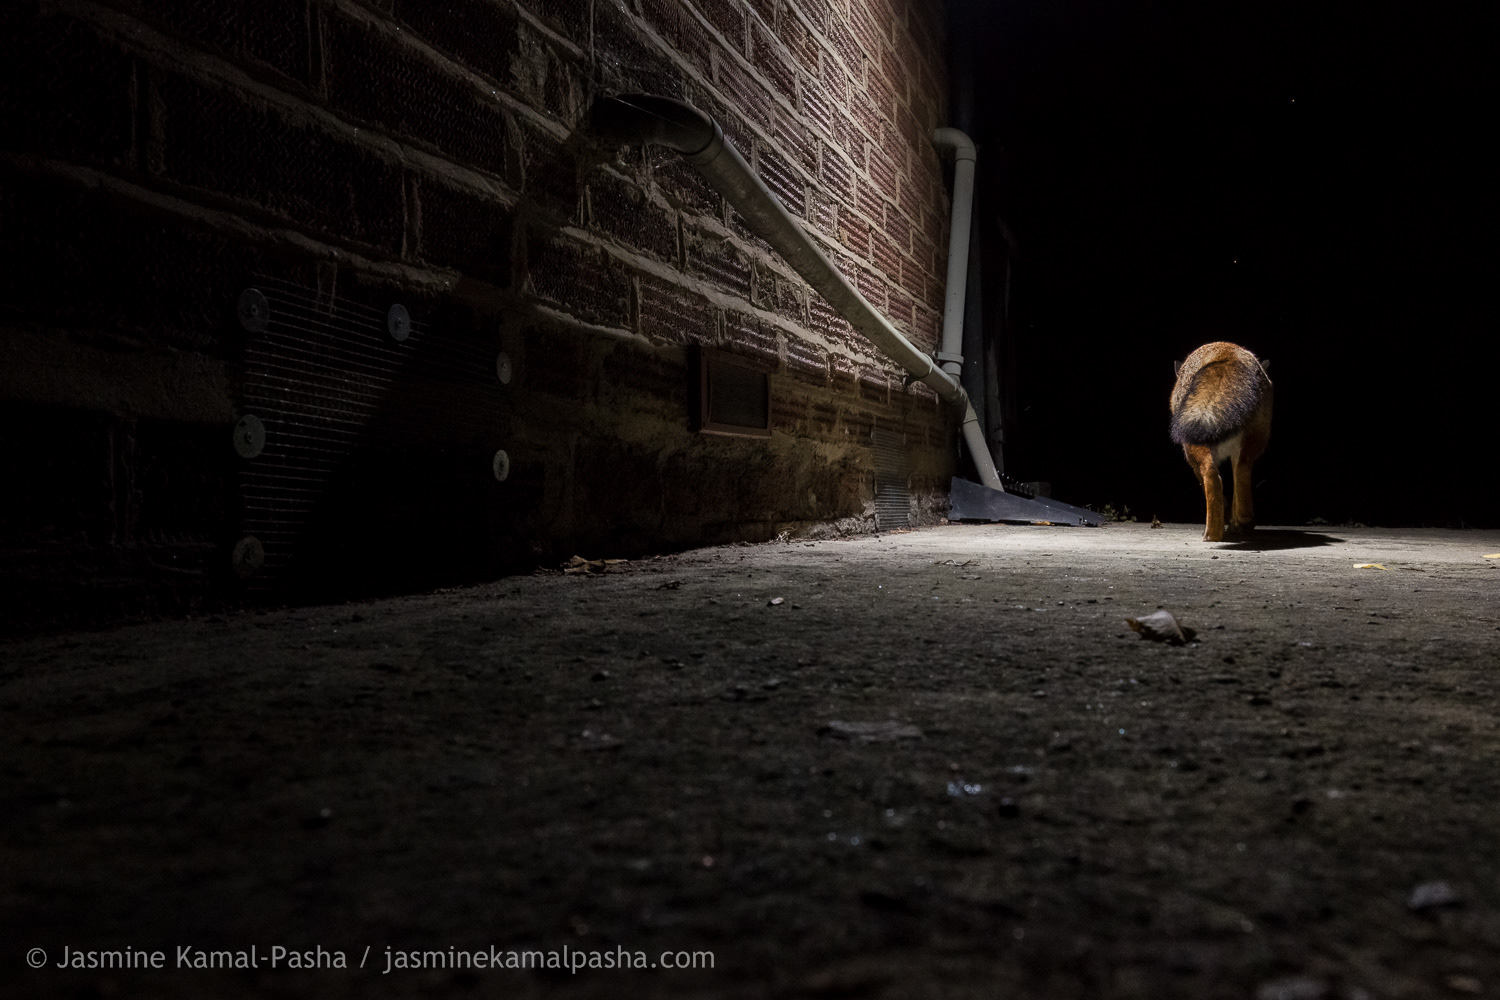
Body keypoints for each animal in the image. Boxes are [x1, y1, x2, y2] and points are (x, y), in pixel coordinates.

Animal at [1170, 341, 1273, 542]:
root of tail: (1228, 354)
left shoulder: (1196, 464)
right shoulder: (1234, 455)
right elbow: (1235, 496)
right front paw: (1234, 523)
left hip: (1194, 446)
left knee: (1213, 477)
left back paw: (1213, 533)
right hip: (1250, 447)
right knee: (1241, 477)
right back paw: (1243, 524)